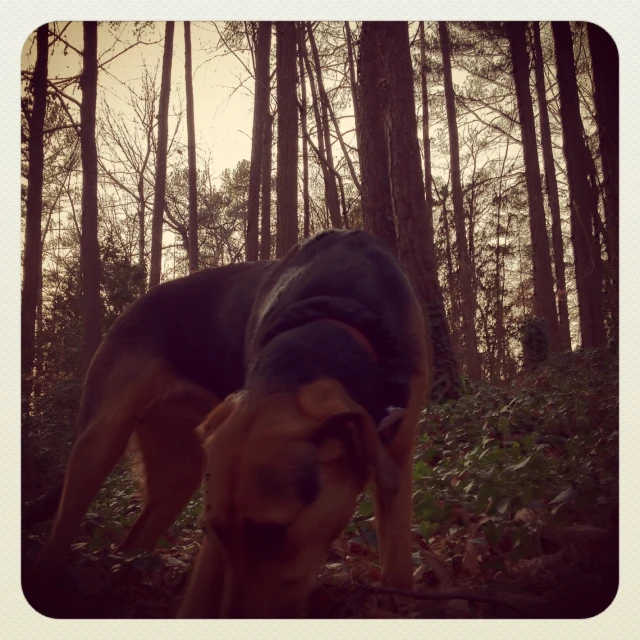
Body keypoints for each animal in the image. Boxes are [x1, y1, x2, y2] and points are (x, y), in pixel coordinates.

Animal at [28, 229, 430, 616]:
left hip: (179, 472)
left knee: (131, 545)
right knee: (54, 546)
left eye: (273, 533)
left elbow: (399, 568)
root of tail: (133, 305)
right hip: (100, 442)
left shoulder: (398, 461)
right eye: (216, 530)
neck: (336, 317)